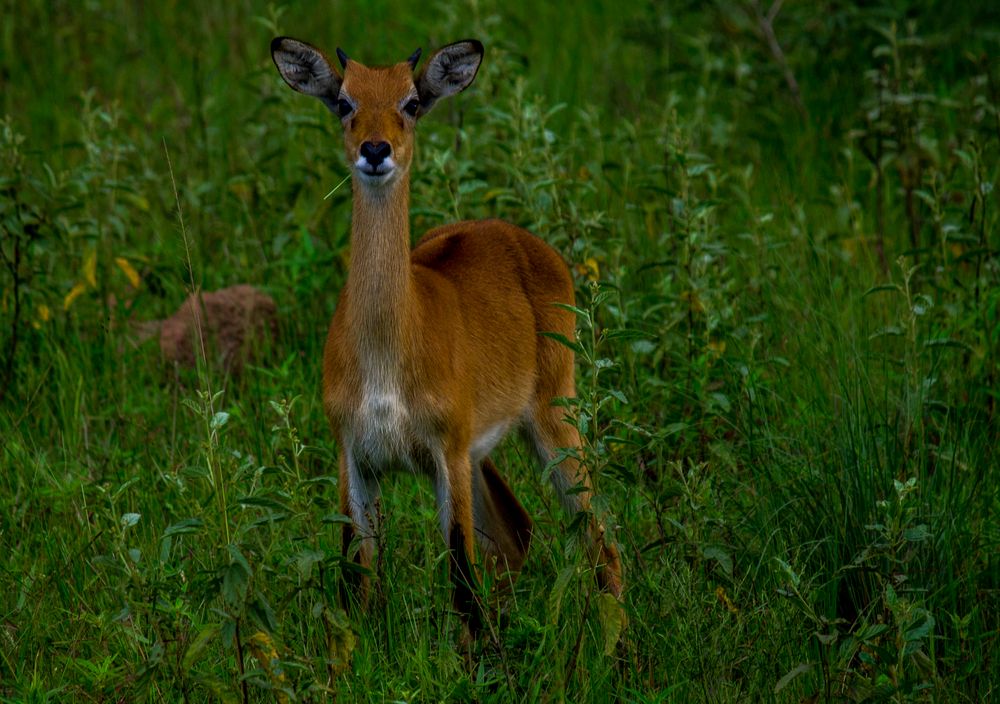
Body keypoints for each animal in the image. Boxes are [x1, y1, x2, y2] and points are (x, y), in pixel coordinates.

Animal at [270, 34, 620, 628]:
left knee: (600, 540)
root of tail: (524, 240)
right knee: (517, 532)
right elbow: (355, 583)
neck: (387, 354)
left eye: (412, 102)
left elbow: (461, 584)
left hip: (551, 421)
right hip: (482, 453)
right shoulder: (355, 458)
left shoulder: (445, 455)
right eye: (343, 101)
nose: (376, 149)